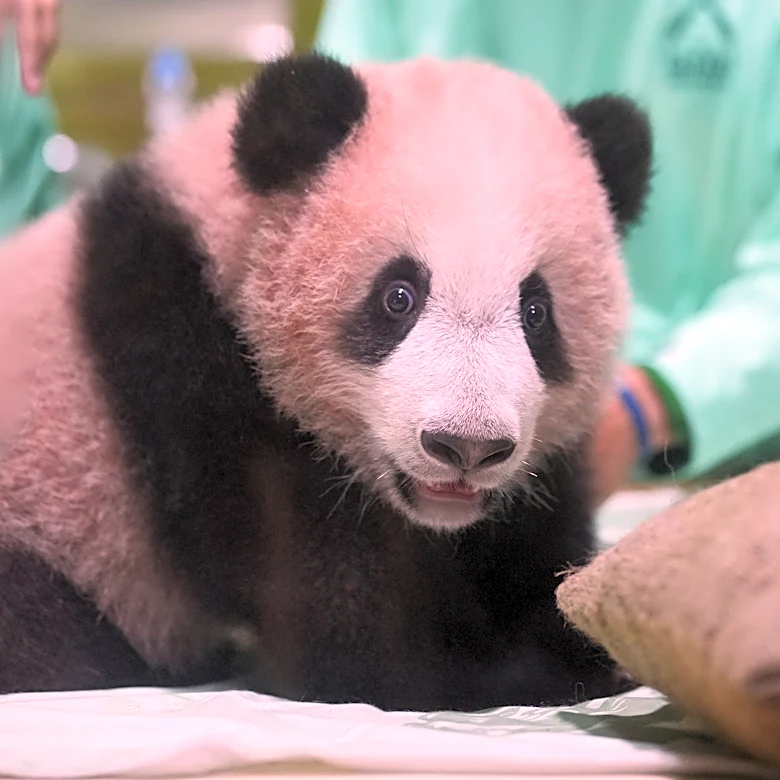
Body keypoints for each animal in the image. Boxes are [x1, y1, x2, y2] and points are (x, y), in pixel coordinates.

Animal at [0, 52, 651, 710]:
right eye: (398, 297)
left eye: (536, 312)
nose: (466, 447)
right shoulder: (181, 353)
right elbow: (323, 611)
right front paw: (483, 672)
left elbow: (535, 538)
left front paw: (585, 636)